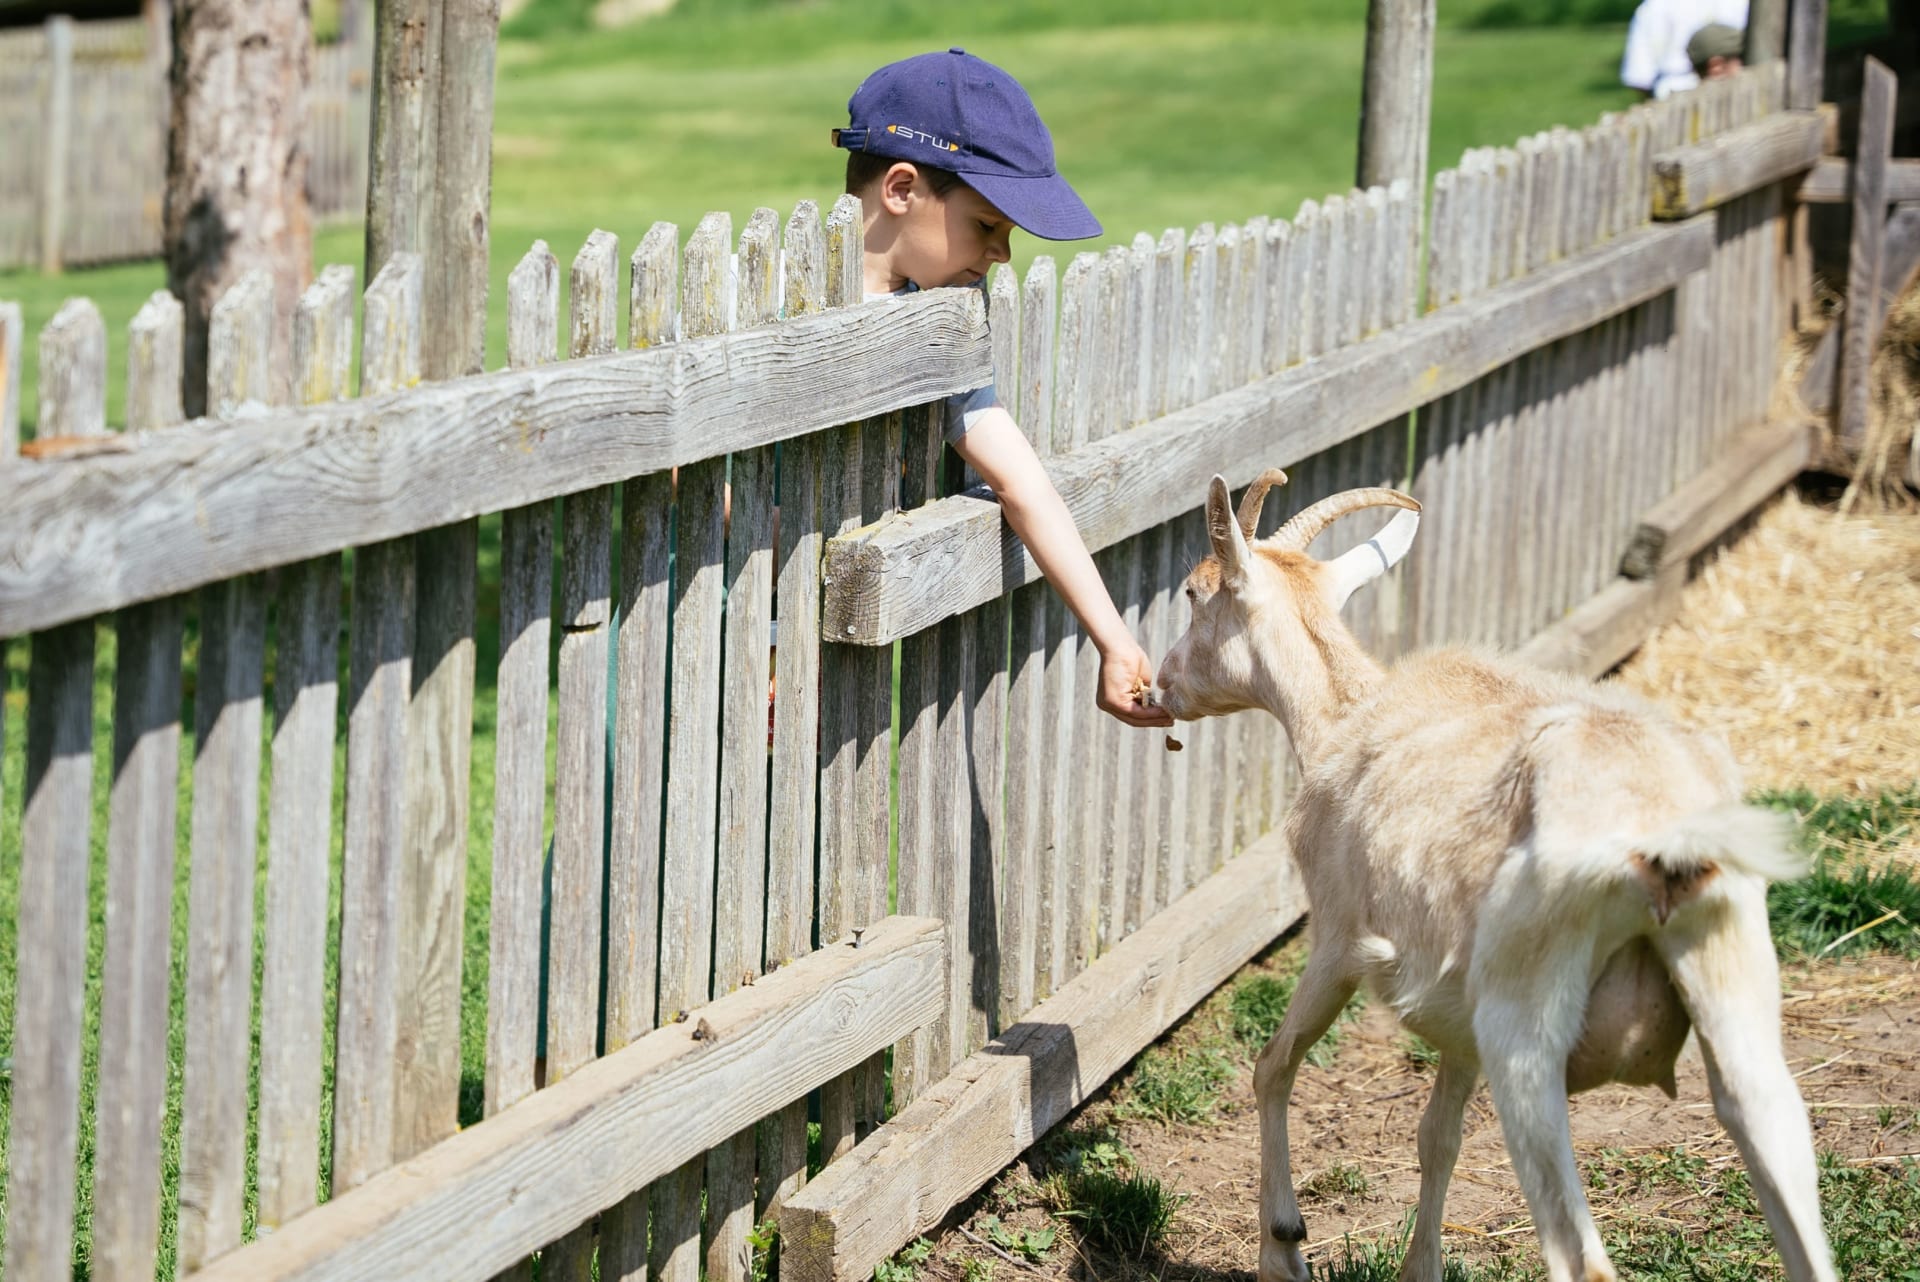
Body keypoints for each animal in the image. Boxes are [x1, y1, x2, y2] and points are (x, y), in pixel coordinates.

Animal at [1153, 471, 1834, 1282]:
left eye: (1194, 591)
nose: (1157, 685)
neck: (1345, 712)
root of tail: (1661, 832)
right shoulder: (1457, 1016)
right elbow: (1437, 1137)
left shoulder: (1337, 937)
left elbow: (1273, 1065)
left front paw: (1283, 1246)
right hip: (1731, 976)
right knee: (1775, 1138)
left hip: (1526, 1025)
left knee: (1581, 1257)